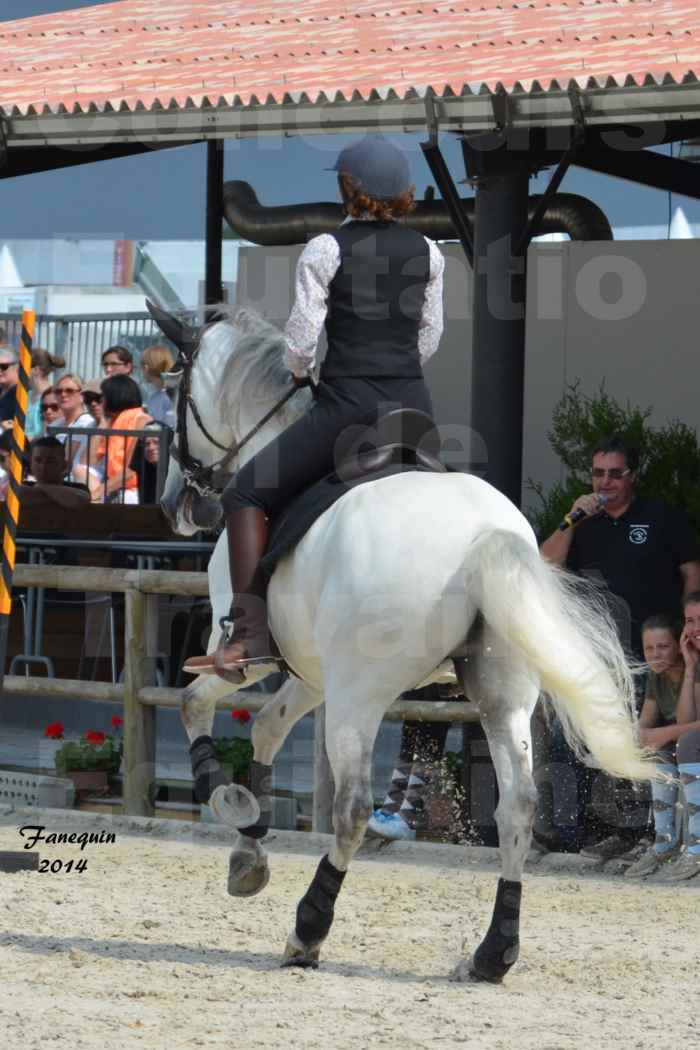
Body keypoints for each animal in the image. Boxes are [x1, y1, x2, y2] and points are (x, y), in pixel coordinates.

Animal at [154, 306, 659, 982]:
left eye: (173, 396)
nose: (173, 505)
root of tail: (482, 537)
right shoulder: (311, 674)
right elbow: (266, 727)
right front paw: (249, 851)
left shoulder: (247, 656)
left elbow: (195, 703)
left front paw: (229, 806)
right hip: (499, 696)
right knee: (518, 807)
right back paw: (493, 952)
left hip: (360, 697)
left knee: (352, 810)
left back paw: (307, 933)